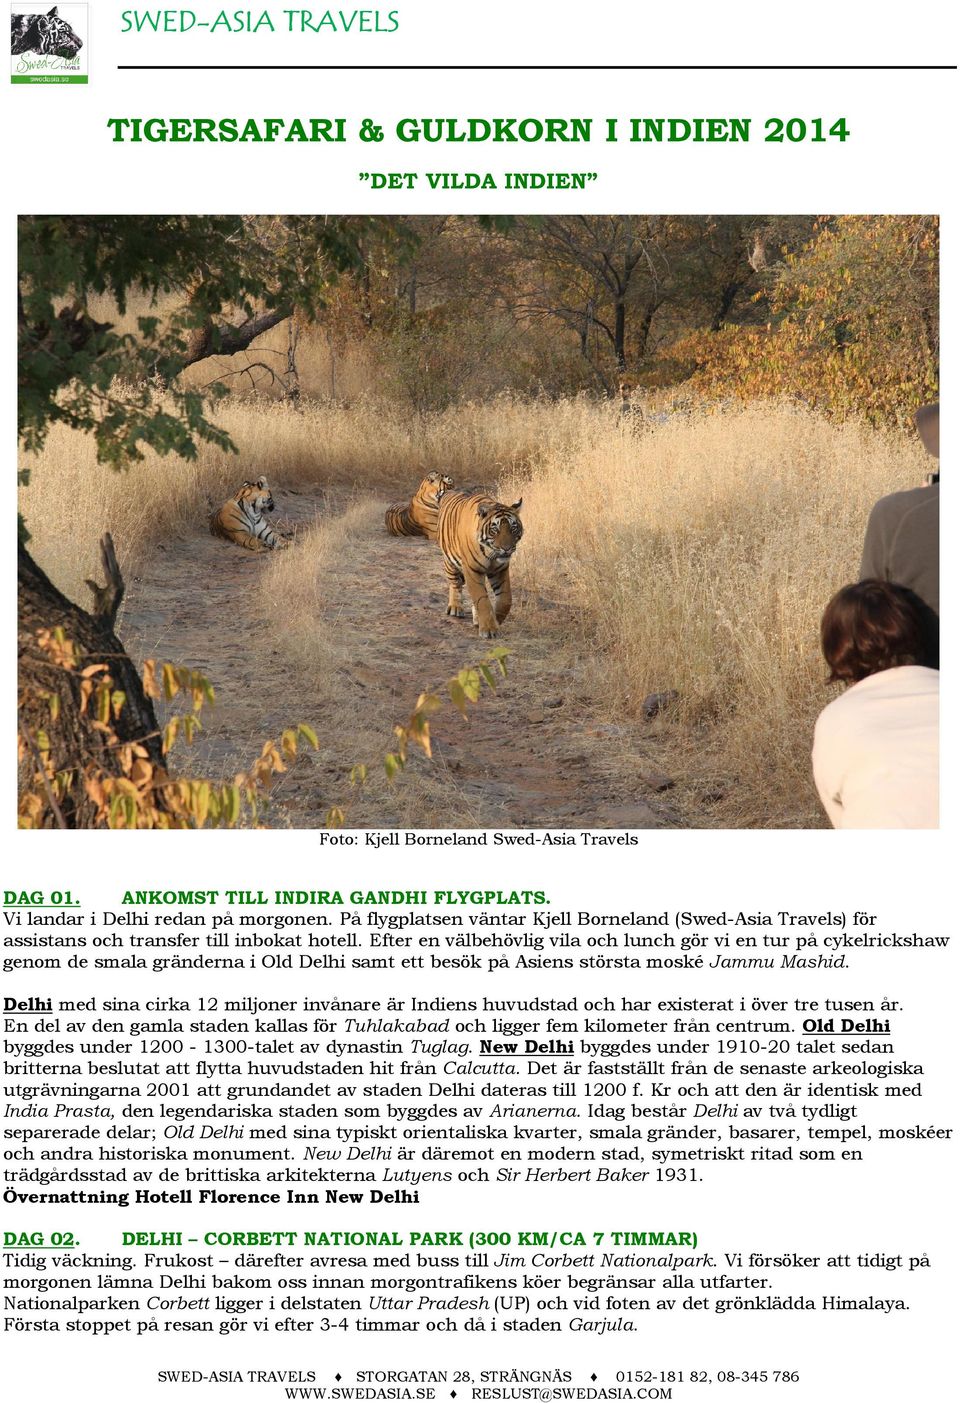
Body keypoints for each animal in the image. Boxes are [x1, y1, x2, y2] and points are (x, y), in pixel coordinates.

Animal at [437, 485, 524, 634]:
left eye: (513, 527)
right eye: (495, 529)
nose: (507, 548)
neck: (490, 554)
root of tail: (451, 491)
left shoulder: (500, 570)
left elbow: (505, 599)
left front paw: (496, 620)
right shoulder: (472, 570)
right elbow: (481, 599)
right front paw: (489, 628)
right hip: (450, 561)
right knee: (455, 583)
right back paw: (455, 607)